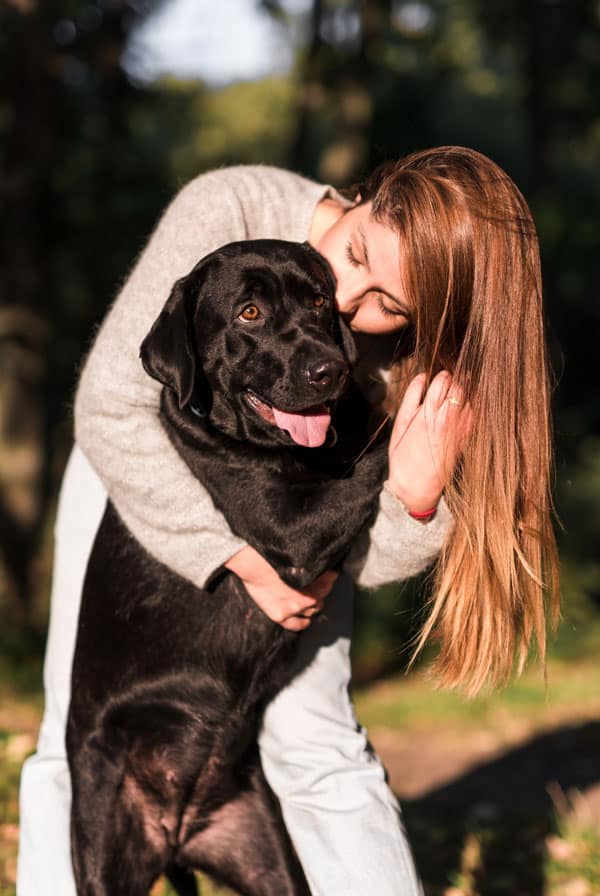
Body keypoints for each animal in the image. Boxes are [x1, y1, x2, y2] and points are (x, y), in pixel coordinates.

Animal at [67, 240, 390, 896]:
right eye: (249, 312)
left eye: (319, 301)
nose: (330, 371)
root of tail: (174, 833)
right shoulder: (293, 531)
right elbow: (379, 449)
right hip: (102, 843)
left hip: (265, 853)